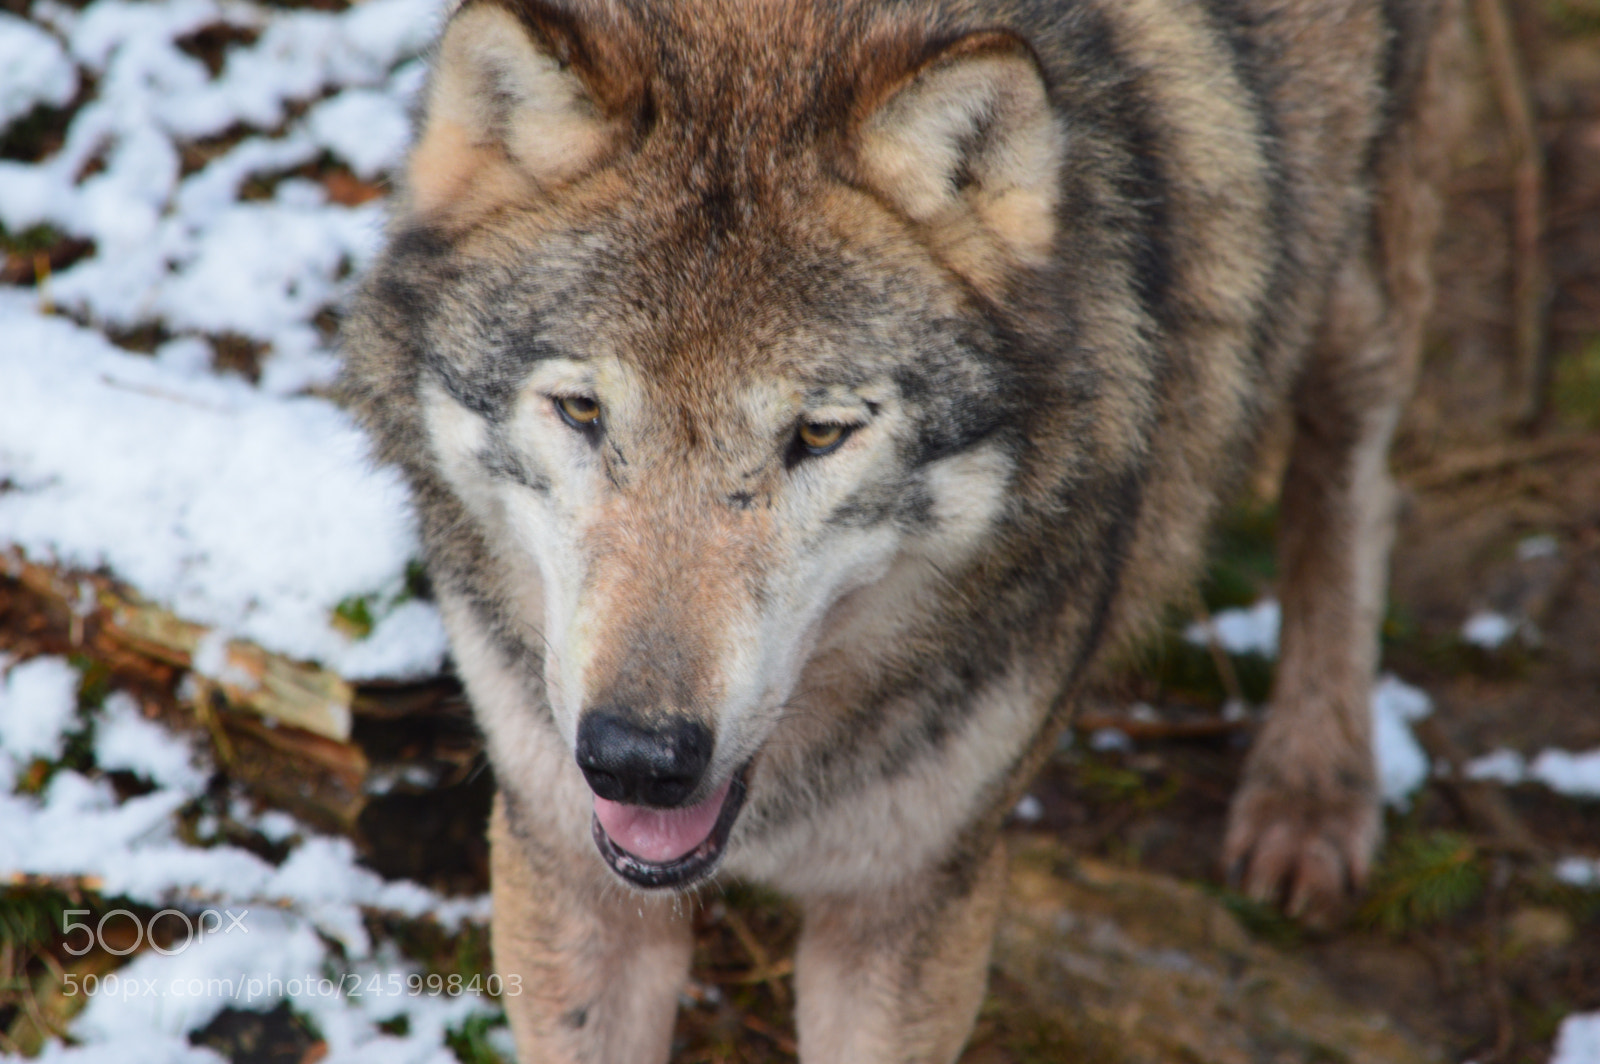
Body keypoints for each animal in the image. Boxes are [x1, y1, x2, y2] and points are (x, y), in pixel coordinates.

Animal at [341, 0, 1455, 1058]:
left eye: (818, 433)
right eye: (582, 411)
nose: (639, 759)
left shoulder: (909, 900)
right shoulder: (570, 869)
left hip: (1356, 273)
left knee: (1354, 490)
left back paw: (1313, 792)